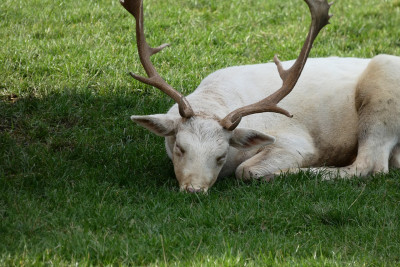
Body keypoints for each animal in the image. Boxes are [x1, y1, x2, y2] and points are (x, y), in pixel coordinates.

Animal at [121, 0, 400, 193]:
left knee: (370, 165)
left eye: (220, 155)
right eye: (180, 147)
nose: (194, 190)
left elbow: (246, 170)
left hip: (383, 88)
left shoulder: (295, 141)